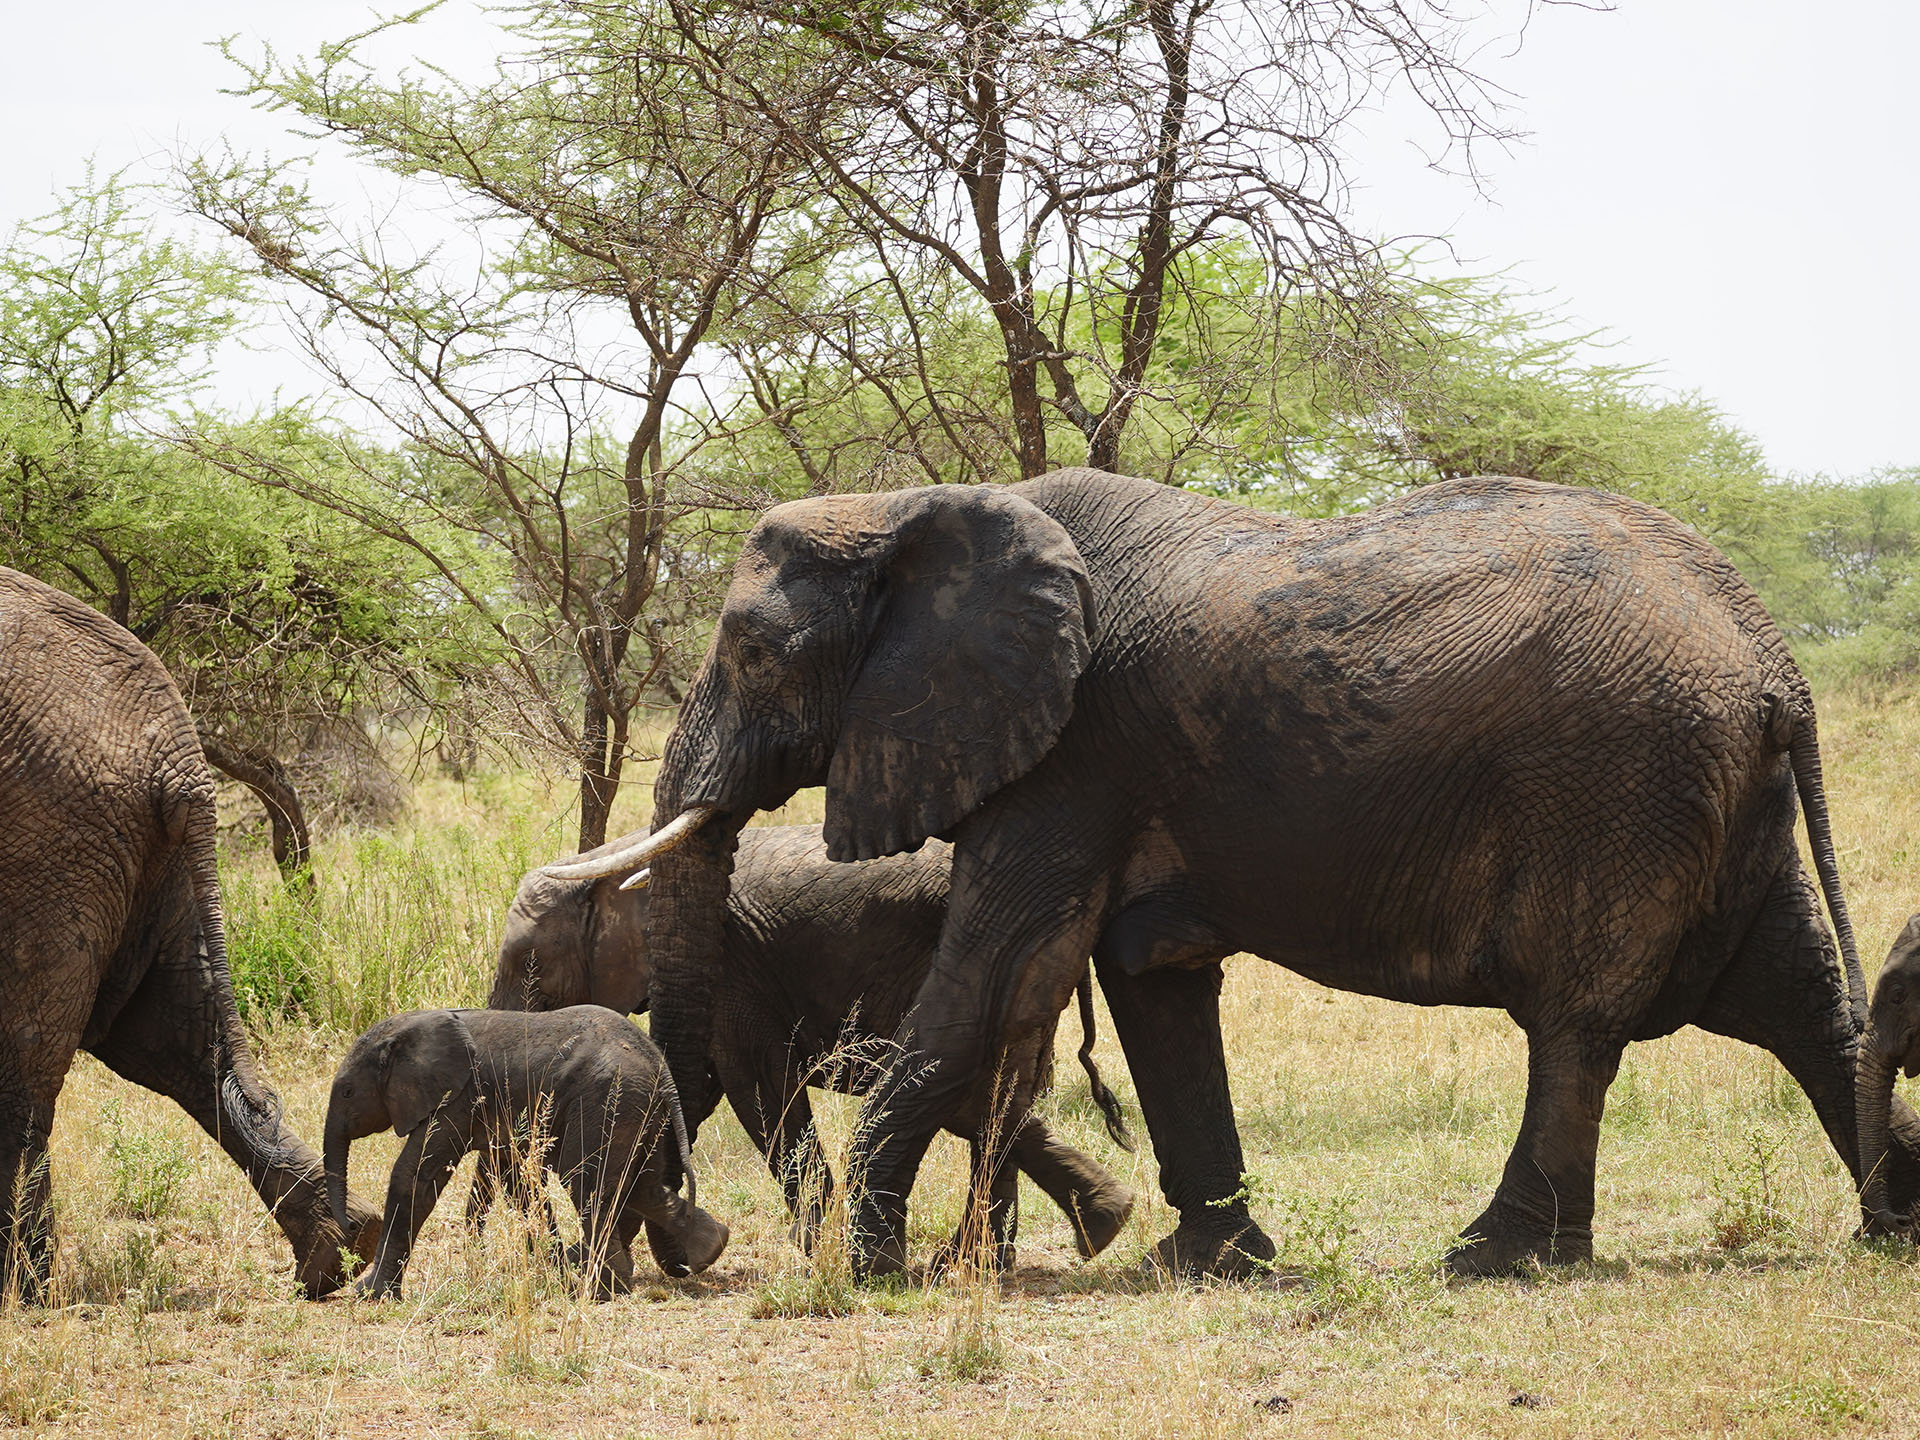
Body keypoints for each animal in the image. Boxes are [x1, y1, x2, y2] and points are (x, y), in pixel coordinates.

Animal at [0, 568, 380, 1305]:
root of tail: (178, 759)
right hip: (128, 851)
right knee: (173, 1039)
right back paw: (339, 1253)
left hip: (49, 837)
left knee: (28, 1060)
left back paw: (24, 1292)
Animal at [322, 1006, 725, 1305]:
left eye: (346, 1092)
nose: (350, 1227)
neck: (411, 1027)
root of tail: (657, 1062)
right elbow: (516, 1182)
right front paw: (554, 1266)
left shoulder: (458, 1097)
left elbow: (415, 1175)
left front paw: (369, 1294)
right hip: (639, 1107)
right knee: (643, 1184)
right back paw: (707, 1249)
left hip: (608, 1097)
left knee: (588, 1182)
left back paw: (599, 1290)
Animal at [491, 829, 1136, 1267]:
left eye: (529, 969)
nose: (548, 1250)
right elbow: (695, 1090)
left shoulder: (730, 966)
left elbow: (753, 1085)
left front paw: (812, 1249)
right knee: (996, 1098)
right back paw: (1079, 1230)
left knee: (976, 1093)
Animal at [614, 468, 1920, 1282]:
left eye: (752, 653)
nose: (695, 1248)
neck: (911, 506)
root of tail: (1775, 658)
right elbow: (1152, 982)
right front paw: (1207, 1264)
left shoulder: (1074, 755)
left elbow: (984, 971)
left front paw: (878, 1272)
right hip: (1718, 796)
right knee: (1805, 1004)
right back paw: (1895, 1231)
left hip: (1621, 778)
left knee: (1579, 1023)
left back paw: (1493, 1258)